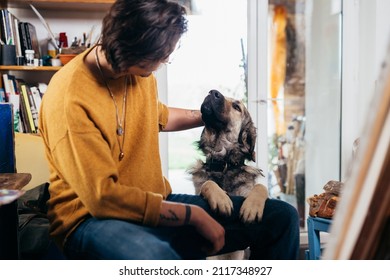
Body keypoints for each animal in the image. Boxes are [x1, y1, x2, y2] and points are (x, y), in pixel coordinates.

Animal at [188, 91, 268, 224]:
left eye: (237, 107)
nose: (212, 92)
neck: (224, 164)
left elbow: (260, 186)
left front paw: (252, 207)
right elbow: (208, 182)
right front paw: (221, 198)